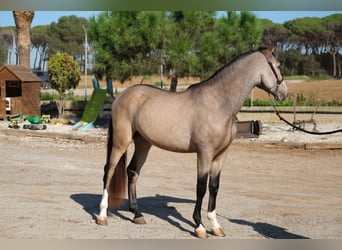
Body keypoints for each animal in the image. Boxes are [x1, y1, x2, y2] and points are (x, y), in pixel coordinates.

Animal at [96, 45, 288, 238]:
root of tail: (122, 96)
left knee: (132, 171)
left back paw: (137, 214)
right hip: (121, 141)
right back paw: (102, 215)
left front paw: (215, 226)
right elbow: (201, 187)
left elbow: (214, 187)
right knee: (109, 171)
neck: (218, 103)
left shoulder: (221, 155)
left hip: (144, 143)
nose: (284, 94)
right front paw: (199, 226)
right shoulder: (204, 153)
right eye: (278, 65)